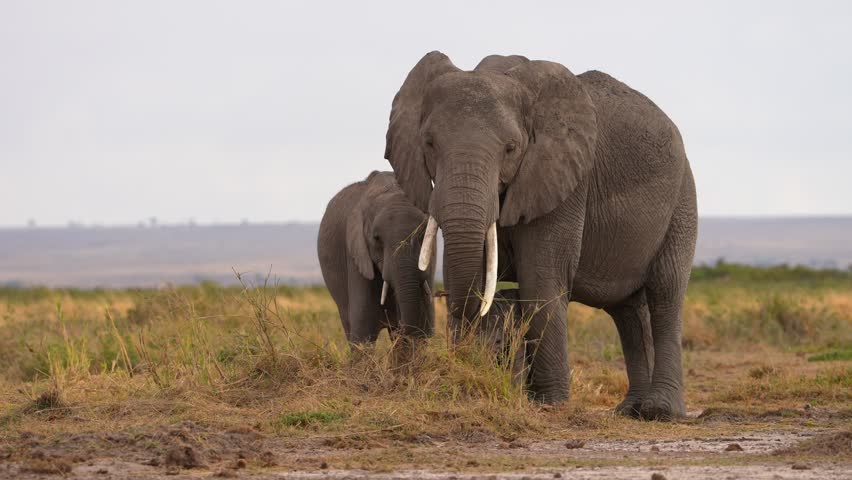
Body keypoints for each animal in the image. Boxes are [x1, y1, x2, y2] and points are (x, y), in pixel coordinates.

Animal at [384, 52, 697, 420]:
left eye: (511, 148)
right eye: (429, 143)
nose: (463, 364)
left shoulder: (564, 180)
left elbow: (540, 278)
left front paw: (550, 403)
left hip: (683, 200)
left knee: (666, 292)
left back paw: (659, 411)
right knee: (627, 311)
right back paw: (629, 410)